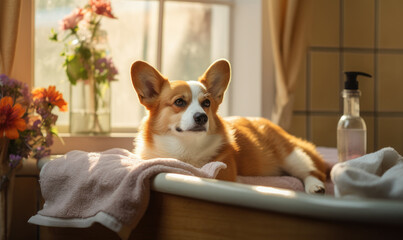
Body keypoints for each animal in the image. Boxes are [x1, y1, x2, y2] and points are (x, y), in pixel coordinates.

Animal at [132, 59, 328, 194]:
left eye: (207, 103)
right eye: (179, 102)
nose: (202, 118)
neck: (186, 148)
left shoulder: (223, 170)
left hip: (290, 155)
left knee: (313, 172)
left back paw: (315, 187)